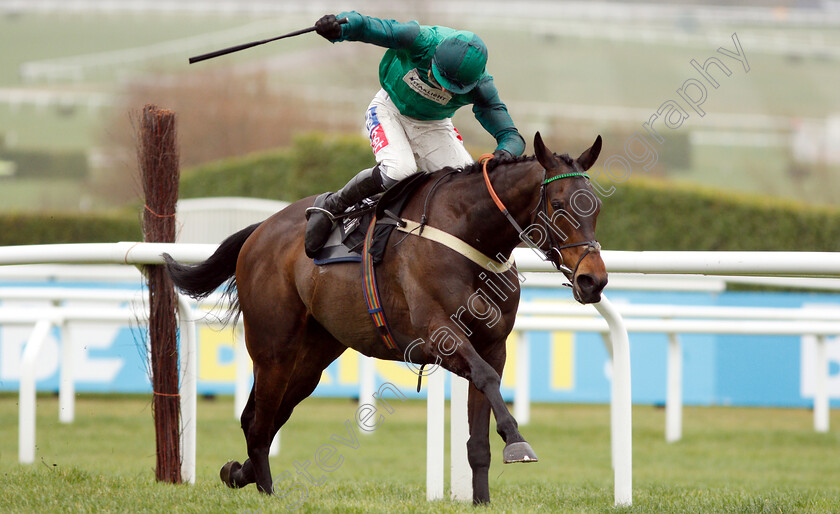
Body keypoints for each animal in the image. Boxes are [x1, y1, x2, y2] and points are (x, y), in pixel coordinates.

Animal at [164, 130, 608, 502]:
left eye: (597, 207)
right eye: (559, 204)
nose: (594, 280)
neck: (470, 236)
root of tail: (259, 230)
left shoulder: (493, 345)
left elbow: (479, 434)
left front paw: (481, 499)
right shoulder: (440, 336)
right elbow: (485, 378)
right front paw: (517, 441)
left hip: (311, 358)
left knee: (265, 416)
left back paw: (240, 473)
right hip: (274, 349)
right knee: (259, 424)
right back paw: (266, 490)